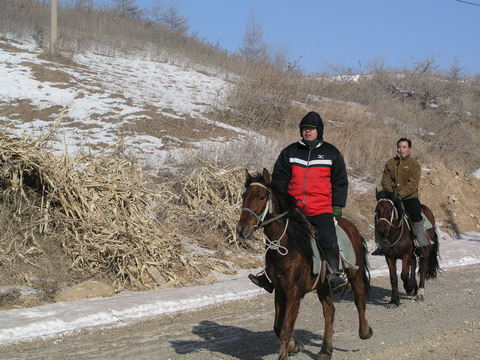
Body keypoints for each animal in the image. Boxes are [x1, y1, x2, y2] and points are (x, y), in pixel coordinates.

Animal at [236, 169, 376, 360]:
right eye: (244, 195)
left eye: (261, 196)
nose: (241, 230)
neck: (286, 246)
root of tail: (351, 225)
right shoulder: (280, 290)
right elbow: (278, 327)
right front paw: (295, 345)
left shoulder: (294, 293)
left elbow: (285, 328)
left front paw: (285, 353)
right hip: (323, 285)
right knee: (329, 311)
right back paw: (325, 350)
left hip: (355, 273)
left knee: (359, 300)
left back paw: (365, 331)